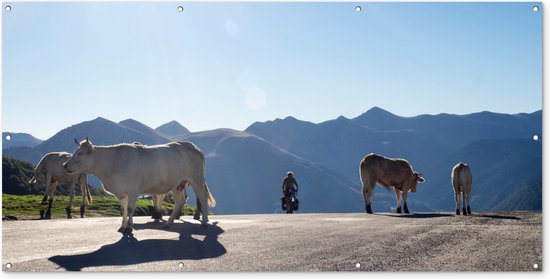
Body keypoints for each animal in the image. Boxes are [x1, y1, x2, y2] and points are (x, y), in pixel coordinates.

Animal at [66, 139, 217, 233]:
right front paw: (122, 226)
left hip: (197, 179)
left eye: (79, 153)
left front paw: (129, 227)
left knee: (202, 197)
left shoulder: (133, 190)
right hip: (178, 184)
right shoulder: (122, 192)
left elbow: (130, 209)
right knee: (180, 201)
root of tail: (193, 147)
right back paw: (169, 222)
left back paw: (204, 222)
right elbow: (124, 209)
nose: (65, 165)